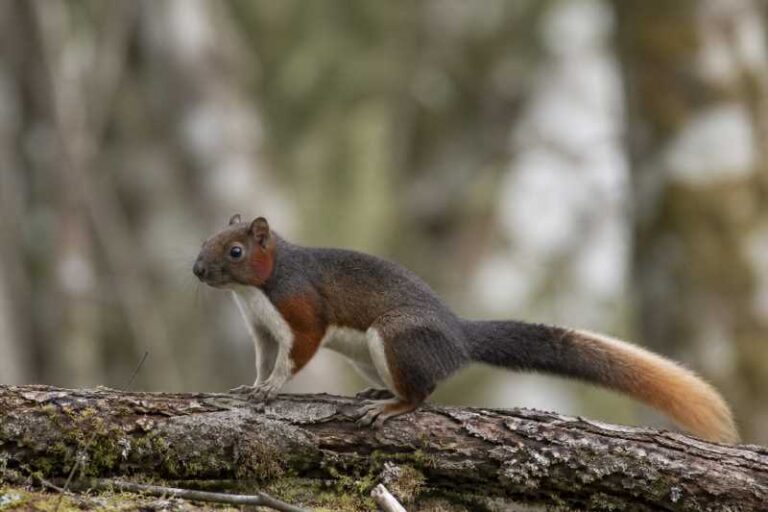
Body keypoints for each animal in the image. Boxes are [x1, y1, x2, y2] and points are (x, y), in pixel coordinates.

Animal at [193, 214, 739, 443]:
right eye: (205, 240)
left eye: (235, 251)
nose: (197, 270)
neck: (255, 290)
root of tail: (458, 336)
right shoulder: (261, 328)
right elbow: (265, 357)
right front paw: (251, 386)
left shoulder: (300, 309)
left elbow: (297, 353)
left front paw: (272, 389)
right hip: (373, 354)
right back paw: (377, 394)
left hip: (393, 337)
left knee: (423, 395)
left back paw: (391, 407)